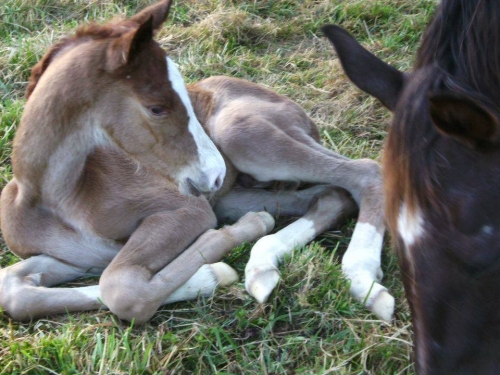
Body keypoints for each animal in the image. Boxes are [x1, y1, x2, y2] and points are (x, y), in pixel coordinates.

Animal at [0, 0, 390, 324]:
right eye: (156, 107)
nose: (215, 174)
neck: (58, 197)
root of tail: (301, 114)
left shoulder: (187, 210)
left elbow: (121, 288)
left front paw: (218, 265)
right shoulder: (81, 256)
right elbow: (13, 290)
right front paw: (212, 272)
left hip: (240, 134)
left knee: (366, 172)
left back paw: (364, 281)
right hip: (236, 195)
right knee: (331, 195)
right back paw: (262, 268)